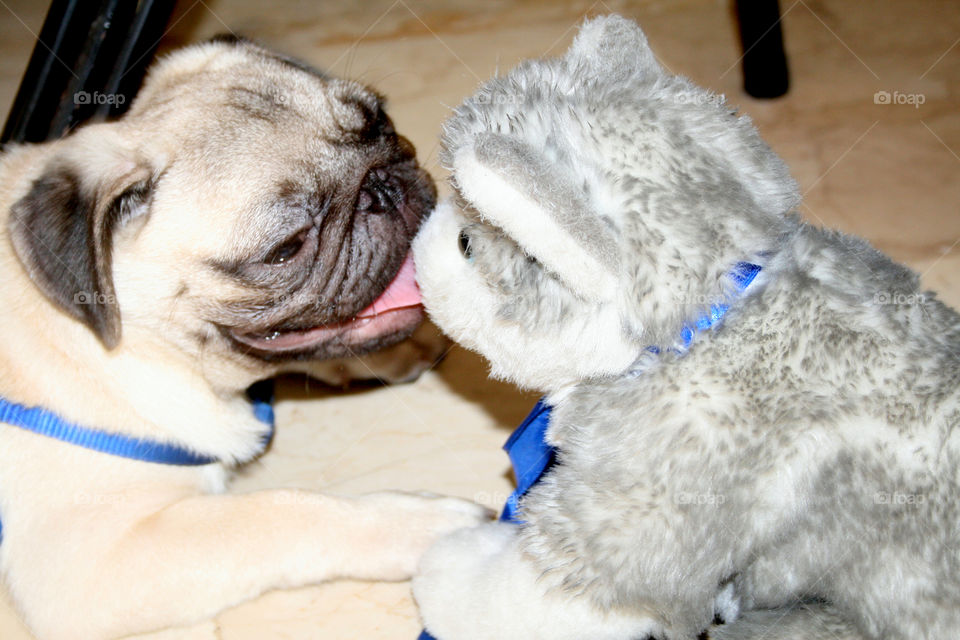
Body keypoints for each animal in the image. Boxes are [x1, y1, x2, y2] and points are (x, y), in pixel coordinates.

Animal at [0, 38, 488, 640]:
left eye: (380, 122)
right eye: (287, 248)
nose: (381, 185)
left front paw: (397, 351)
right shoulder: (94, 562)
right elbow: (283, 513)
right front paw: (422, 524)